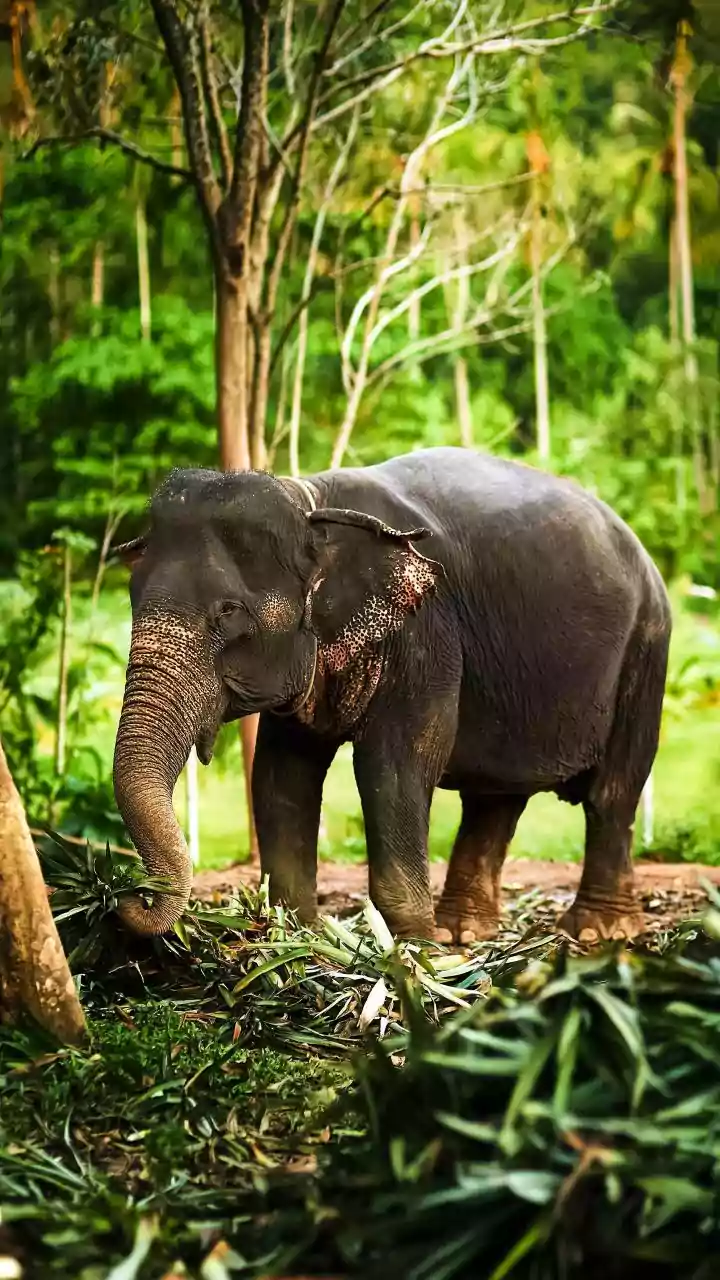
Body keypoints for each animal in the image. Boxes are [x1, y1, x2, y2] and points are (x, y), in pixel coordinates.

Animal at [112, 446, 671, 944]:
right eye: (133, 598)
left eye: (228, 612)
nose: (131, 899)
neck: (309, 500)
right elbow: (280, 774)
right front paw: (297, 936)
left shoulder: (424, 631)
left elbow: (396, 764)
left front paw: (410, 950)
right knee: (494, 800)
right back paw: (464, 933)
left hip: (647, 649)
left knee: (612, 793)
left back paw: (597, 930)